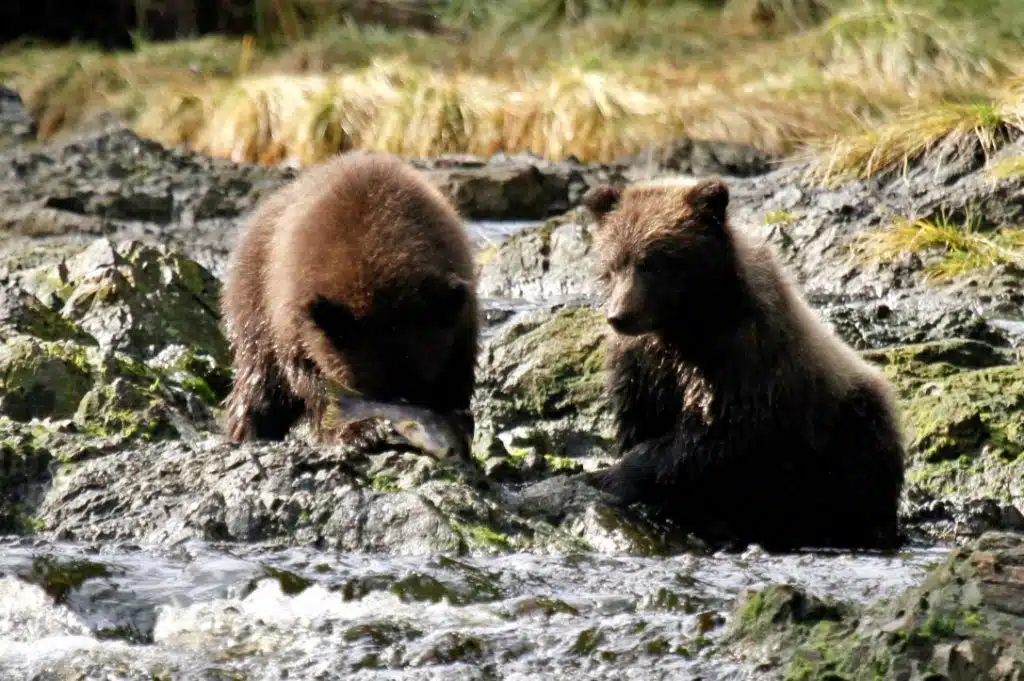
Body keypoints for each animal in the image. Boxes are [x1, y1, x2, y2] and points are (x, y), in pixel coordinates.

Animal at [220, 151, 479, 446]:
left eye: (418, 386)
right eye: (368, 387)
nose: (401, 422)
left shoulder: (460, 318)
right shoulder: (295, 321)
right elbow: (312, 379)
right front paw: (361, 431)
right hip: (253, 303)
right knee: (259, 379)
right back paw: (248, 430)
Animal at [579, 177, 905, 552]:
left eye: (653, 262)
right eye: (614, 264)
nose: (620, 316)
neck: (683, 328)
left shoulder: (745, 359)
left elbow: (716, 434)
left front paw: (612, 476)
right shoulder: (643, 367)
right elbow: (643, 419)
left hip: (849, 430)